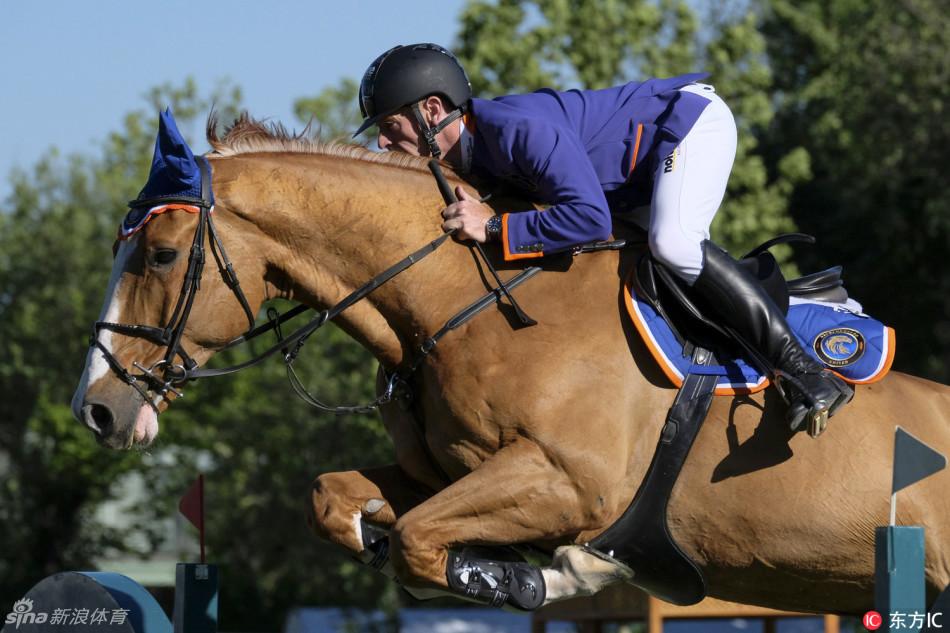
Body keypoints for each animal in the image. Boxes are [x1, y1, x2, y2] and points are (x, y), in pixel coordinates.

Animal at [69, 112, 950, 612]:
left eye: (159, 253)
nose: (98, 407)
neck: (461, 298)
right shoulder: (444, 472)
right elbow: (342, 501)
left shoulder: (565, 480)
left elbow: (421, 539)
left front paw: (550, 574)